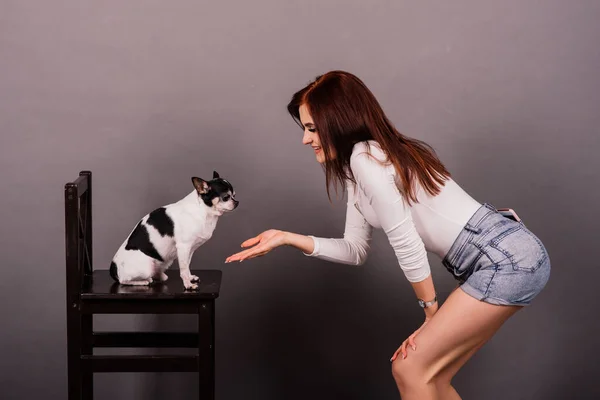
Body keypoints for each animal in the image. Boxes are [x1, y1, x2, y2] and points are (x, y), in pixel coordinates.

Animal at [109, 170, 238, 290]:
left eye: (234, 195)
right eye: (226, 197)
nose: (237, 202)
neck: (203, 210)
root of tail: (113, 269)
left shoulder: (189, 250)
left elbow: (187, 265)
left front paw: (190, 278)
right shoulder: (184, 247)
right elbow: (183, 269)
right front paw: (188, 285)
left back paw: (160, 275)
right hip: (146, 268)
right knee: (124, 280)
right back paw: (144, 281)